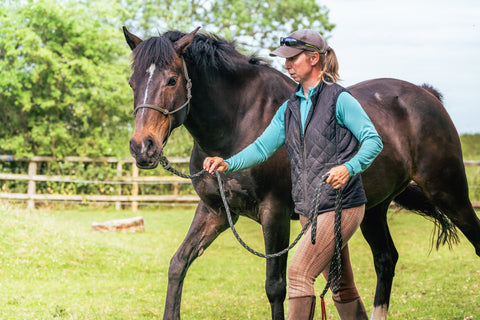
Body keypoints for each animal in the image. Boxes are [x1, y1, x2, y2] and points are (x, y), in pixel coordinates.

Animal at [121, 27, 480, 320]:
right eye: (132, 82)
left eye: (172, 80)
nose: (143, 147)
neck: (239, 121)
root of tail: (426, 95)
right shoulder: (216, 212)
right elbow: (178, 265)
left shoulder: (274, 213)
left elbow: (276, 286)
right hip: (373, 210)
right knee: (385, 259)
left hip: (449, 193)